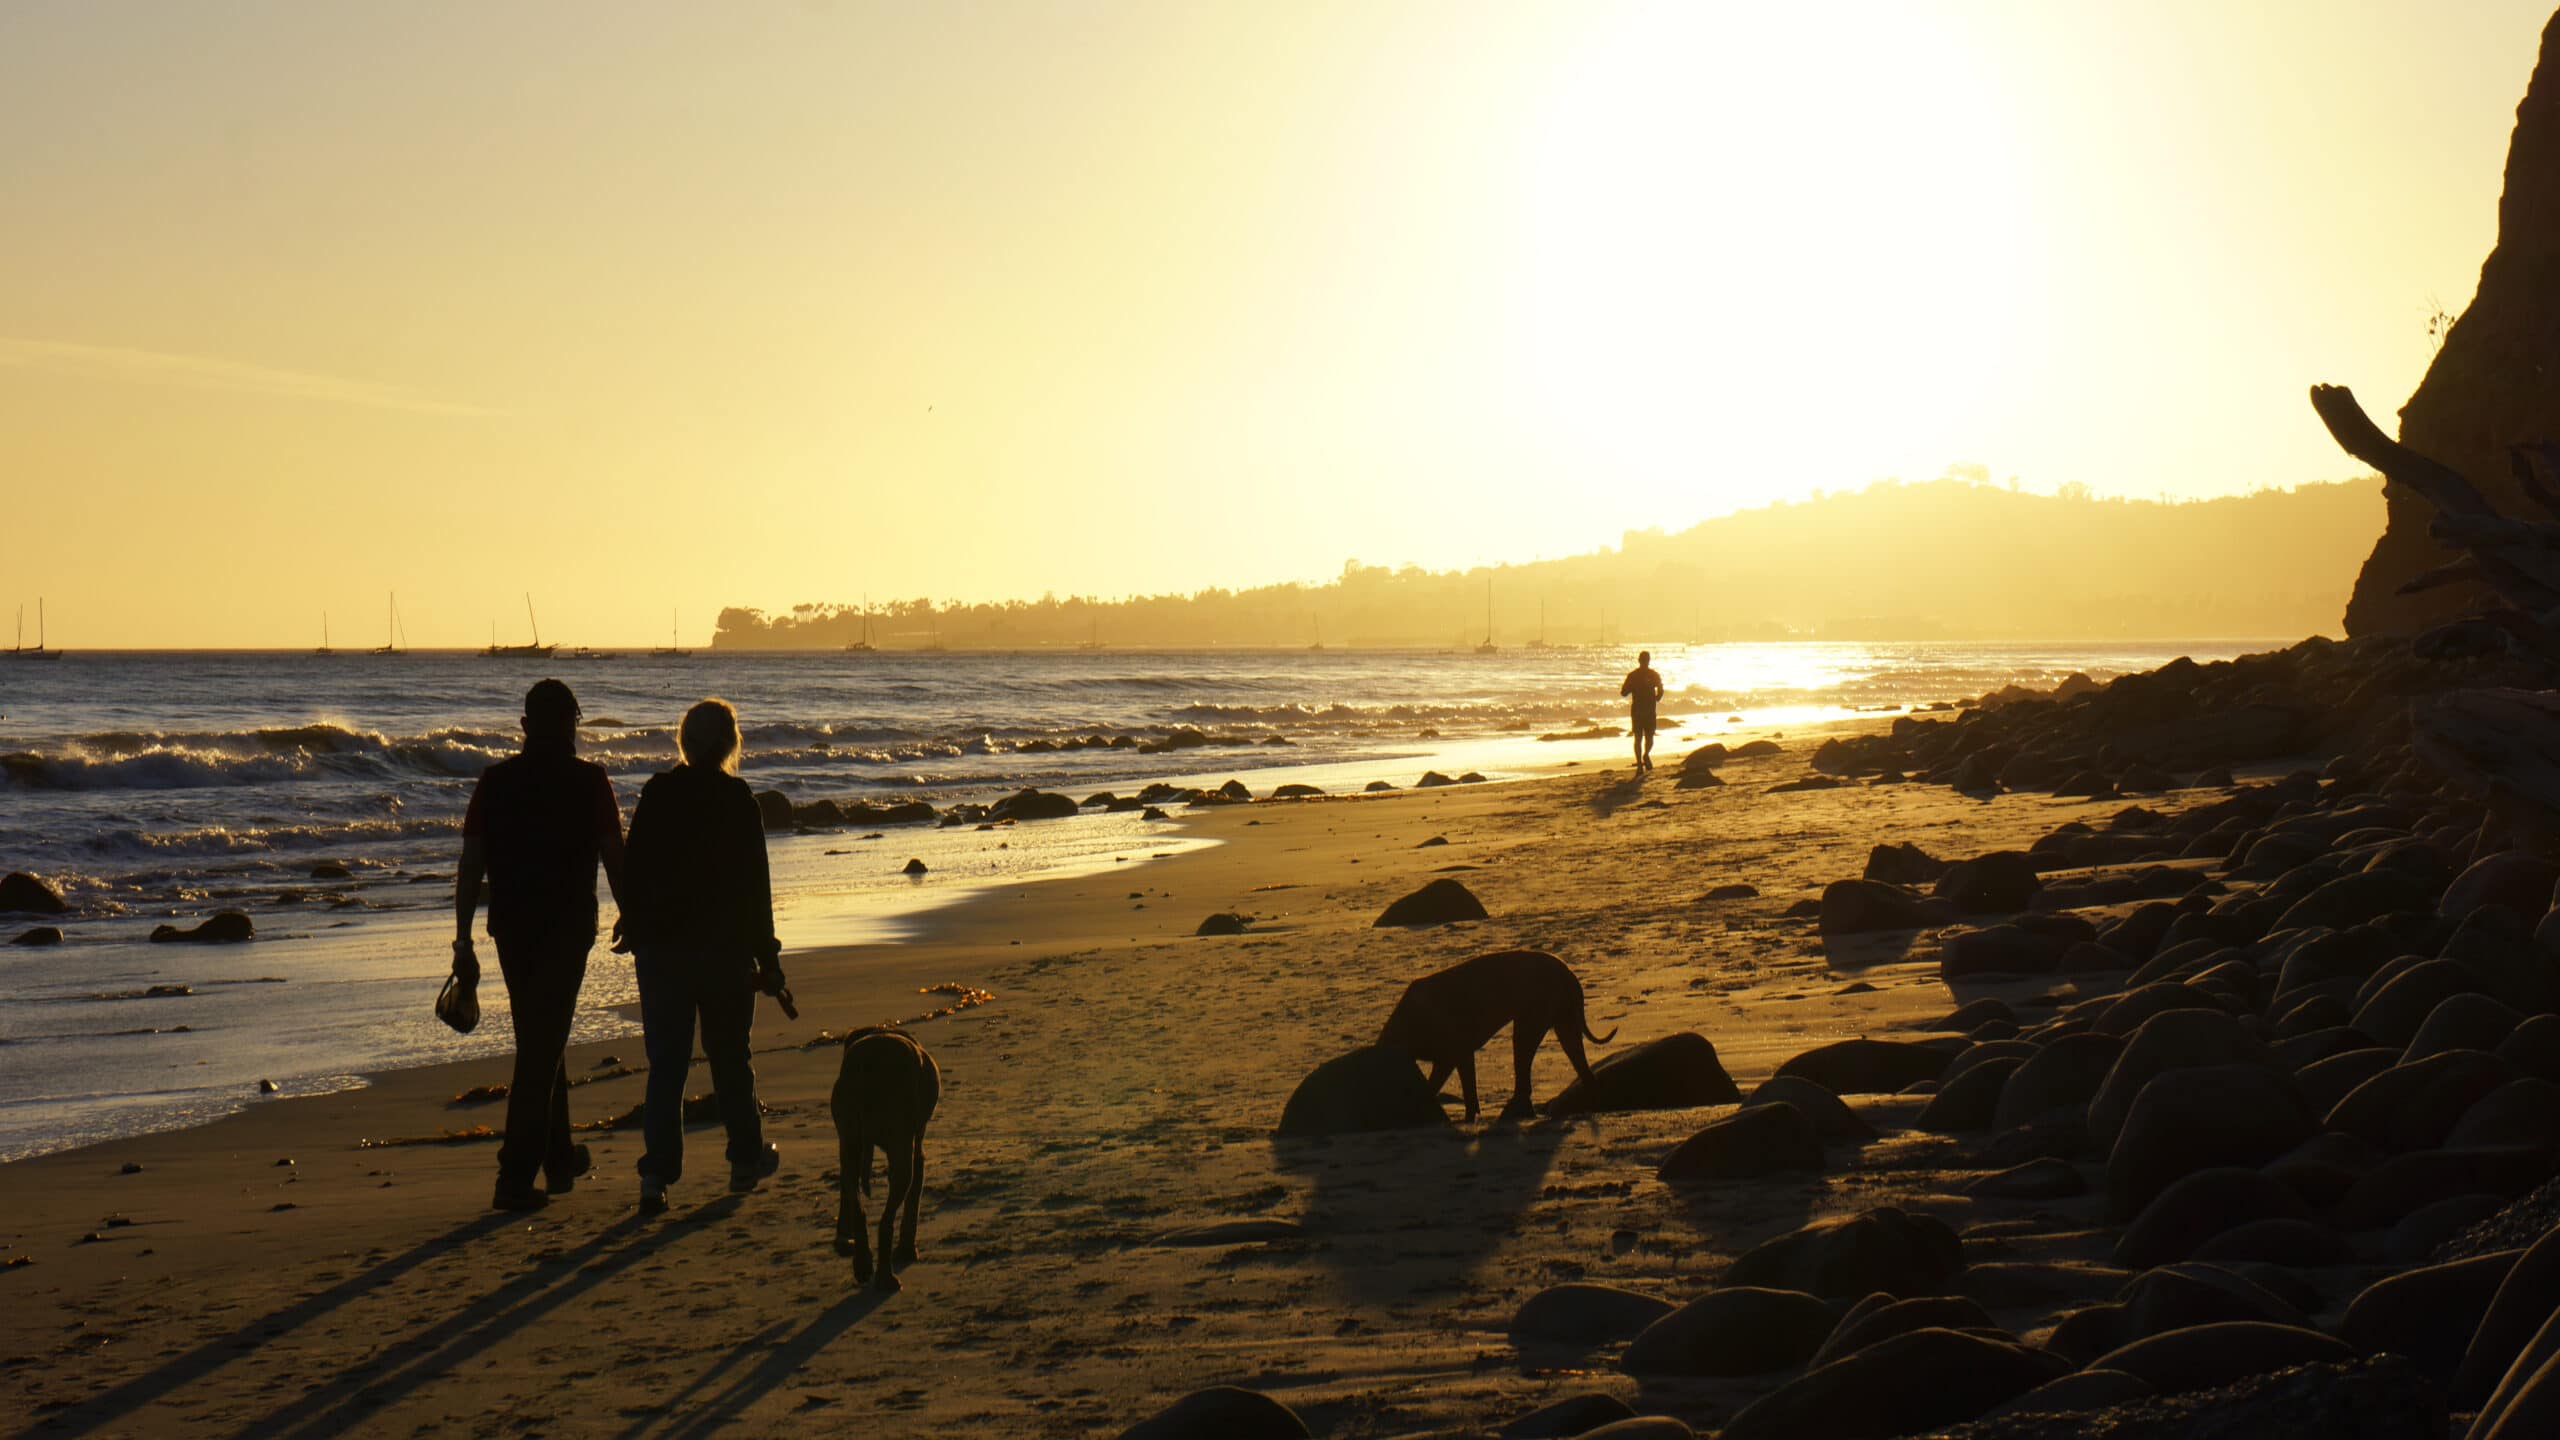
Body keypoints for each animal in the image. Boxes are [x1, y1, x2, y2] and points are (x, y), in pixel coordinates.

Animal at [829, 1024, 942, 1281]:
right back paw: (885, 1277)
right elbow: (915, 1188)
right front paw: (907, 1250)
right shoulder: (914, 1146)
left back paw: (862, 1264)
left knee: (854, 1192)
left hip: (849, 1123)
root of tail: (866, 1068)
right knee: (887, 1215)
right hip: (899, 1129)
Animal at [1382, 948, 1617, 1117]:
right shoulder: (1460, 1055)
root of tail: (1568, 973)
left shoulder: (1451, 1054)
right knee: (1581, 1066)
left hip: (1532, 1019)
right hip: (1565, 1022)